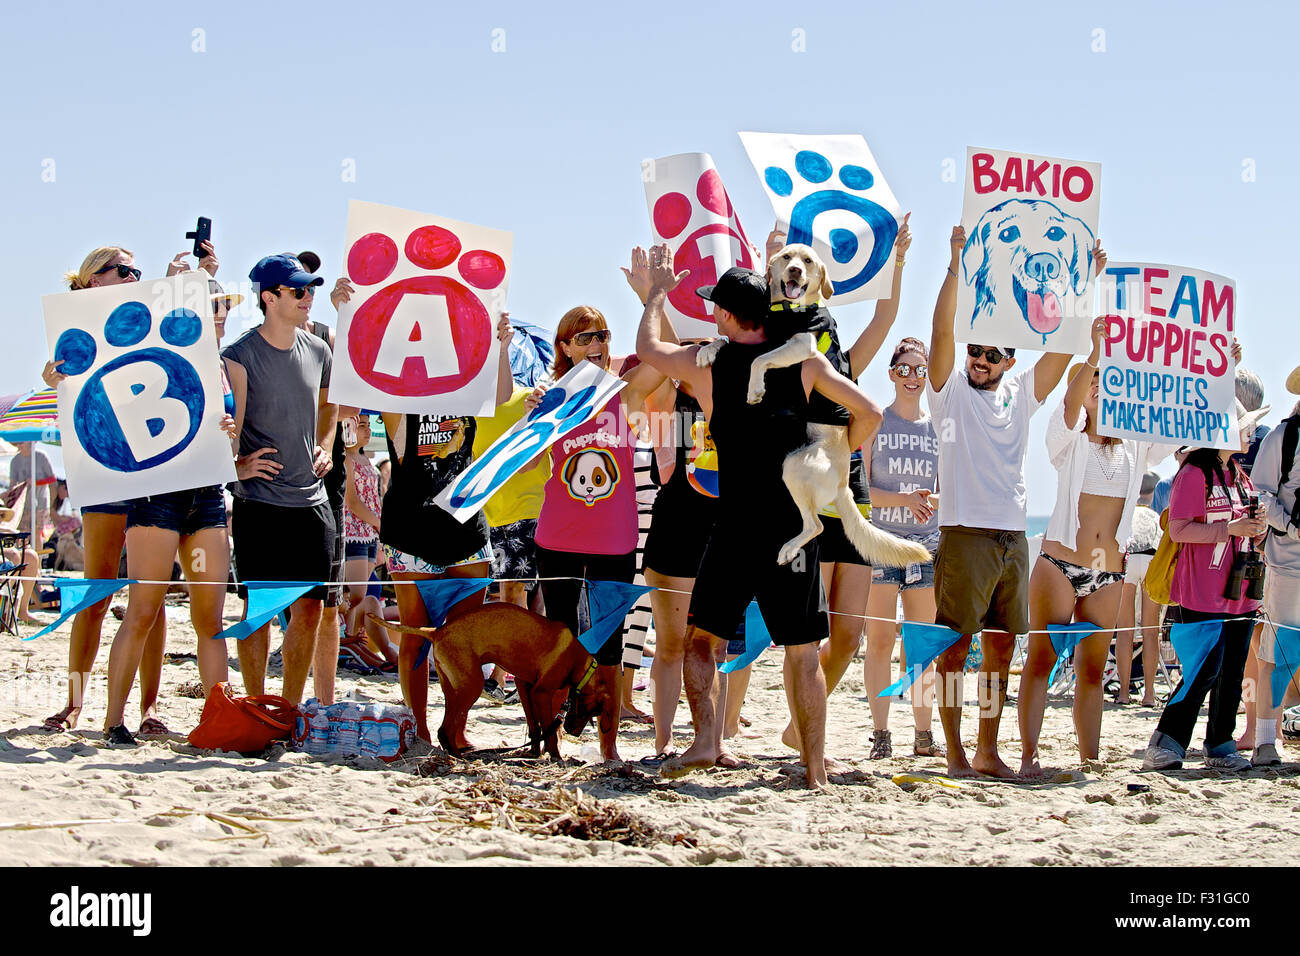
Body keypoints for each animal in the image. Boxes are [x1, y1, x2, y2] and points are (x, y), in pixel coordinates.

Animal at [377, 606, 613, 764]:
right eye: (593, 711)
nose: (574, 733)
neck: (580, 663)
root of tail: (436, 631)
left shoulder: (524, 686)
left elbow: (535, 726)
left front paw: (534, 752)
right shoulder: (541, 692)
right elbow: (550, 732)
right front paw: (555, 756)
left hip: (454, 688)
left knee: (447, 727)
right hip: (471, 687)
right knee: (445, 729)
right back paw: (460, 757)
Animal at [696, 243, 930, 567]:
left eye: (807, 261)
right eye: (786, 257)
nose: (795, 270)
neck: (784, 312)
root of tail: (844, 486)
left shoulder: (802, 345)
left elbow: (759, 358)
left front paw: (755, 388)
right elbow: (728, 341)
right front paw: (707, 351)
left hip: (795, 465)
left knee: (816, 525)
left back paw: (789, 548)